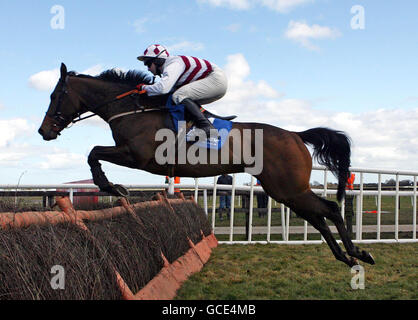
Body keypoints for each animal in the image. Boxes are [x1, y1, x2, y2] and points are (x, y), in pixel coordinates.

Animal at [38, 63, 376, 268]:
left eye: (55, 95)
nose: (44, 131)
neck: (133, 108)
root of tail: (295, 134)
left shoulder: (138, 156)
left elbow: (93, 152)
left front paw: (111, 185)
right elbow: (94, 152)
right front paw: (111, 185)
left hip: (288, 188)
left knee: (329, 209)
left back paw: (357, 252)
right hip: (285, 191)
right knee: (318, 217)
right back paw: (347, 257)